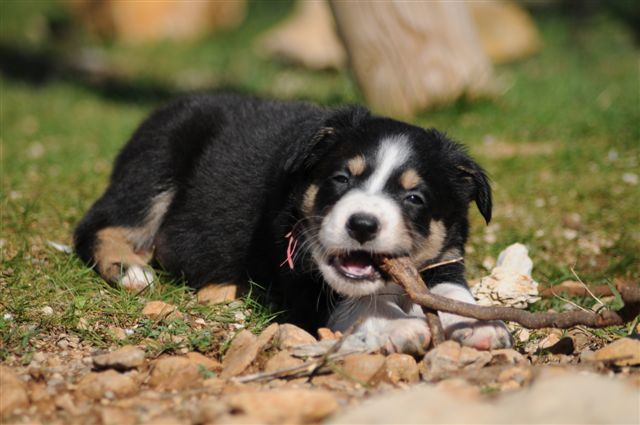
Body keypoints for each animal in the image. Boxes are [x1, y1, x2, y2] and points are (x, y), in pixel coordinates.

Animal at [74, 93, 513, 353]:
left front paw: (482, 324)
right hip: (158, 161)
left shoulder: (445, 256)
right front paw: (398, 327)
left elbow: (450, 289)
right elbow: (355, 300)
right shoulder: (297, 269)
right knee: (99, 224)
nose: (362, 225)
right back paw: (130, 269)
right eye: (341, 179)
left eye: (415, 198)